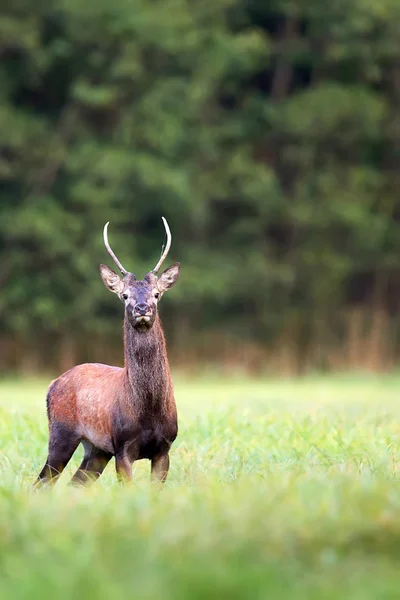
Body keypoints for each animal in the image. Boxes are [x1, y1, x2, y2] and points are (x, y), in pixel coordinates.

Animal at [35, 218, 180, 486]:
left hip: (96, 449)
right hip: (61, 432)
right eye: (124, 295)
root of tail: (52, 384)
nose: (141, 308)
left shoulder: (165, 448)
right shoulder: (122, 445)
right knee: (41, 482)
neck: (148, 411)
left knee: (75, 482)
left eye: (156, 294)